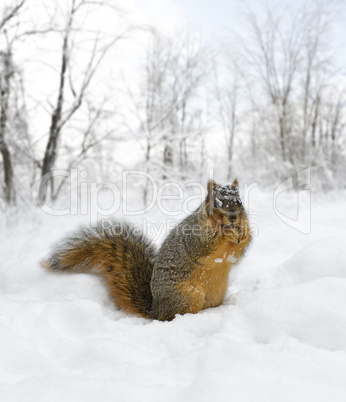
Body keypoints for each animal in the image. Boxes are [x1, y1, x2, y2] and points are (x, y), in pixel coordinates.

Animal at [42, 179, 251, 320]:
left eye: (240, 202)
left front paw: (242, 233)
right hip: (187, 296)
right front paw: (227, 233)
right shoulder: (194, 237)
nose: (233, 218)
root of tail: (155, 310)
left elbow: (239, 251)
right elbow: (208, 244)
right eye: (216, 203)